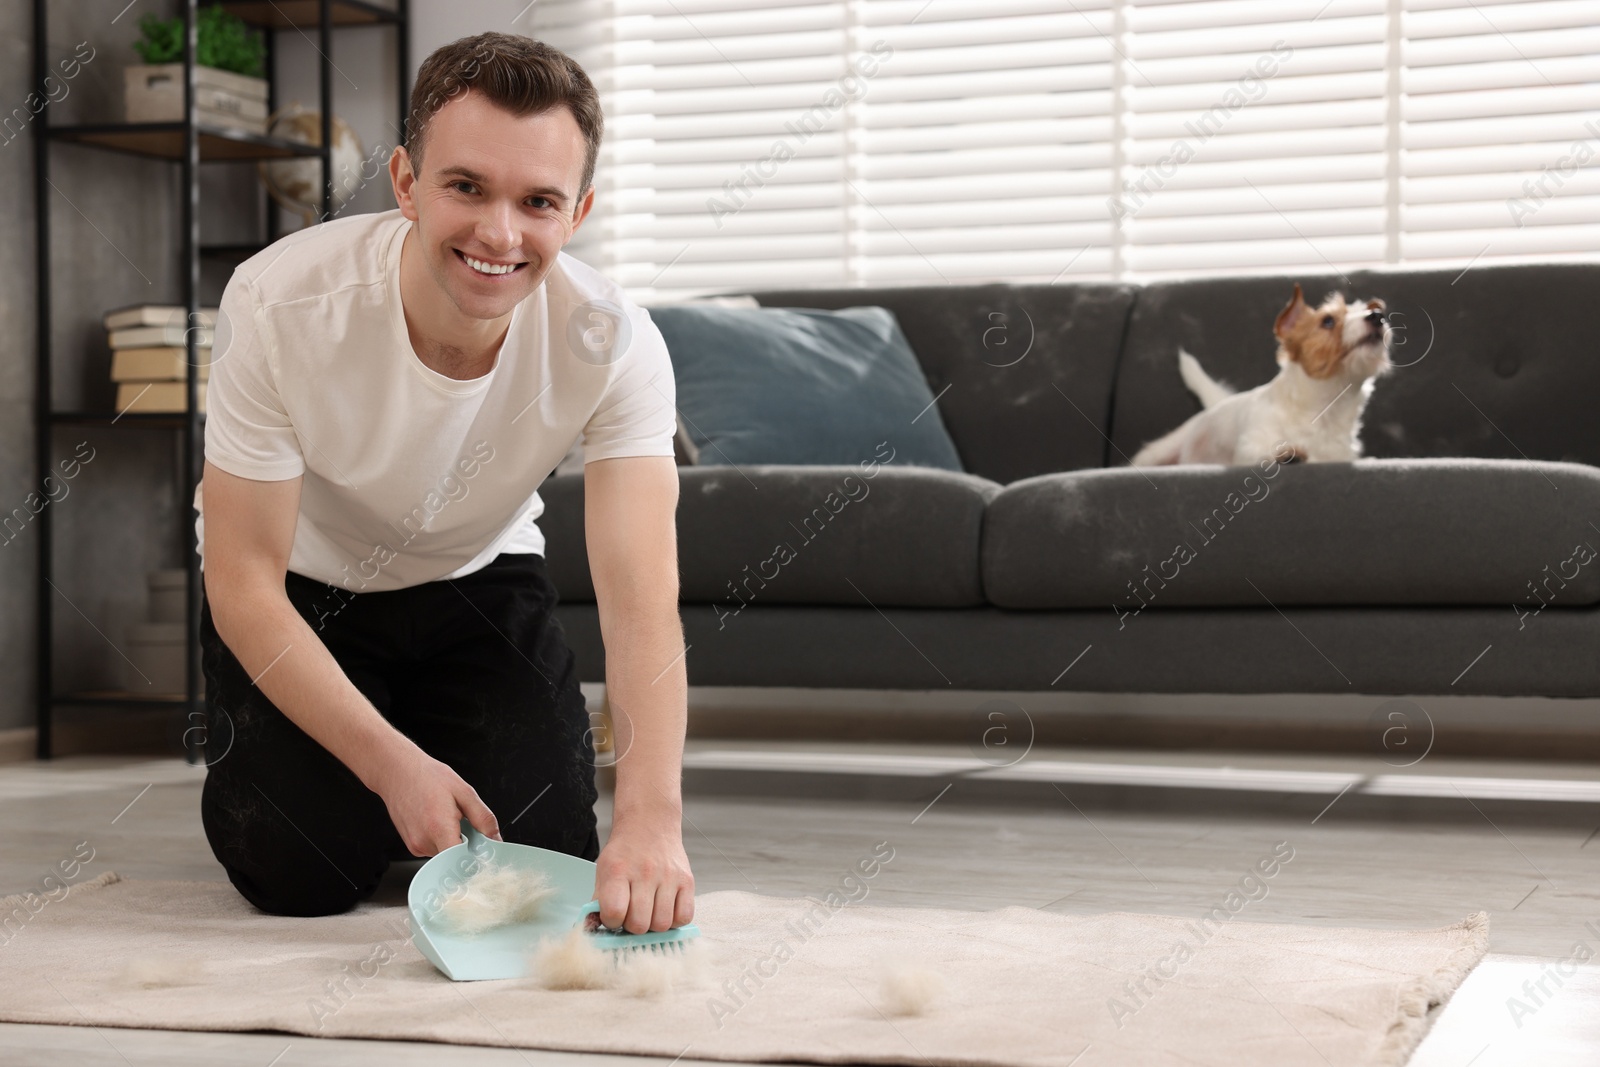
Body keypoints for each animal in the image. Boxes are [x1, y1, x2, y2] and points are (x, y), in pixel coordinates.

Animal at [1132, 283, 1395, 467]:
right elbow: (1264, 454)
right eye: (1328, 321)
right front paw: (1288, 456)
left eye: (1373, 310)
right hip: (1158, 453)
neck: (1325, 409)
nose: (1377, 316)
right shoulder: (1249, 448)